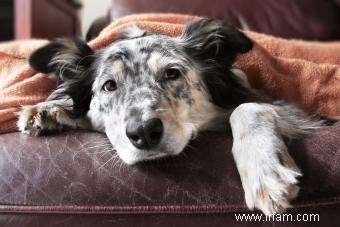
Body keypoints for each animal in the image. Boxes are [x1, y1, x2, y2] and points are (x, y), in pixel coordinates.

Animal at [16, 18, 324, 214]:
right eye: (109, 86)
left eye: (172, 73)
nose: (143, 132)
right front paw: (49, 109)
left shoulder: (291, 109)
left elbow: (247, 108)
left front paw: (264, 170)